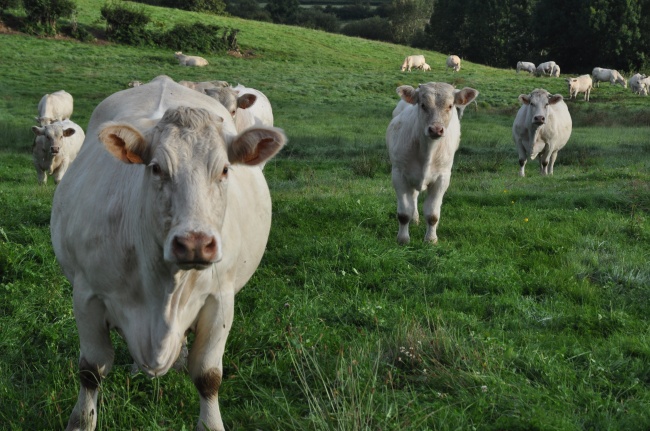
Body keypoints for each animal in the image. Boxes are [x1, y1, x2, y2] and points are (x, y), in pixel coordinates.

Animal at [54, 75, 288, 431]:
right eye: (156, 168)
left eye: (224, 170)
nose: (195, 243)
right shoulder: (86, 296)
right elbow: (91, 370)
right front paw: (82, 419)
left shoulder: (220, 300)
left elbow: (208, 375)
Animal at [384, 82, 476, 245]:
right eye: (422, 104)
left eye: (450, 105)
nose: (436, 129)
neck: (428, 151)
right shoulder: (399, 174)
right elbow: (404, 213)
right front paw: (403, 239)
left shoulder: (442, 178)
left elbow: (433, 214)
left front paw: (431, 239)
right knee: (413, 197)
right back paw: (414, 219)